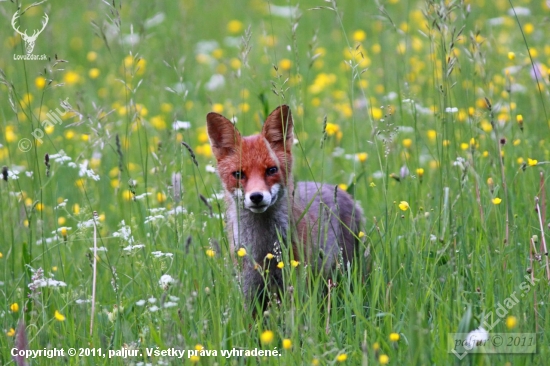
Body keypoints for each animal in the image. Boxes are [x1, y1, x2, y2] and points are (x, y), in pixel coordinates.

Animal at [206, 105, 362, 304]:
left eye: (271, 170)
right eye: (239, 174)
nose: (256, 196)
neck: (264, 249)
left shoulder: (296, 283)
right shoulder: (248, 289)